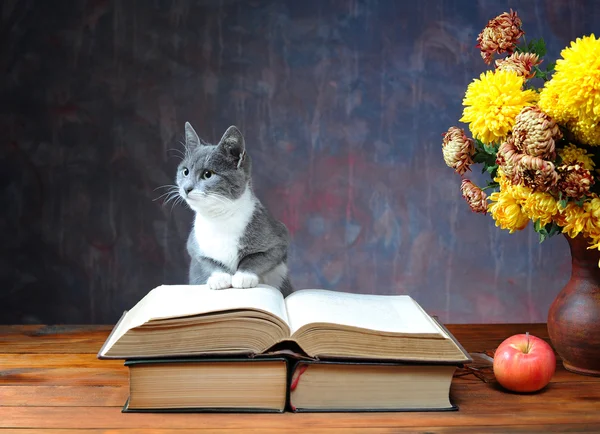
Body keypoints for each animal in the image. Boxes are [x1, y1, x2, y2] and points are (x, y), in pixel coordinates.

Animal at [175, 122, 294, 294]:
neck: (219, 218)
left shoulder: (279, 239)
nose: (186, 188)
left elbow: (258, 257)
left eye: (207, 174)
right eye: (185, 172)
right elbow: (208, 262)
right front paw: (220, 278)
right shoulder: (194, 246)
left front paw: (244, 276)